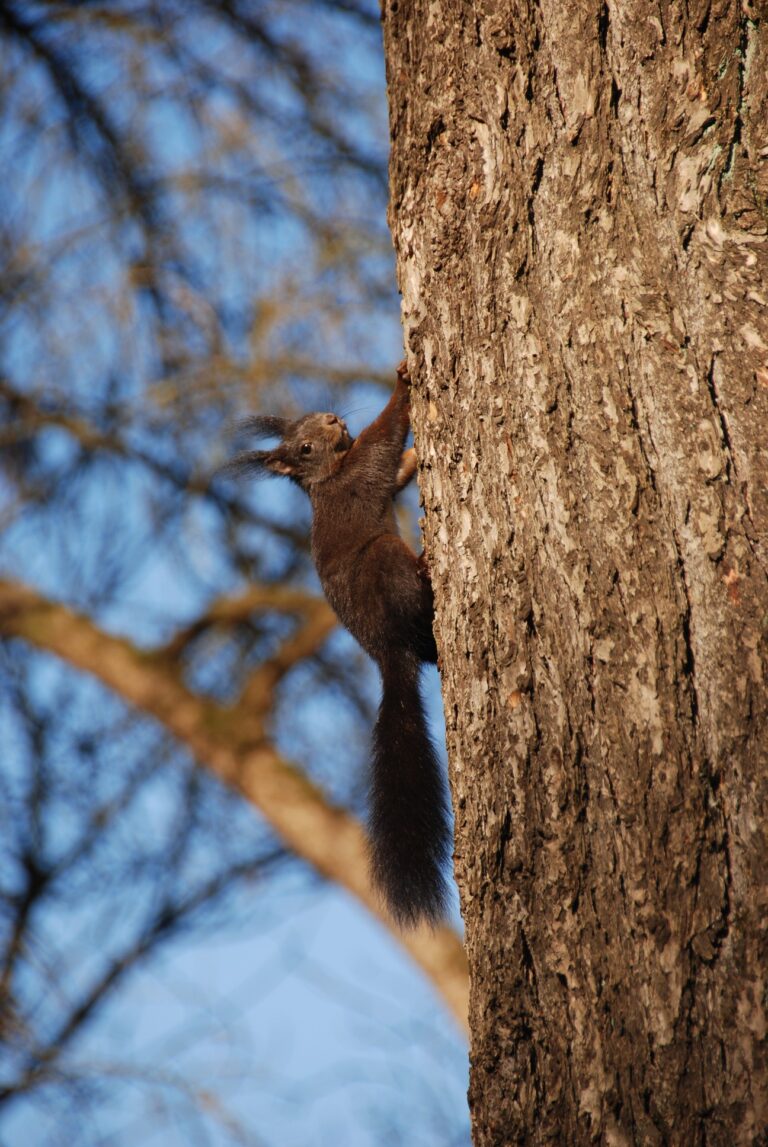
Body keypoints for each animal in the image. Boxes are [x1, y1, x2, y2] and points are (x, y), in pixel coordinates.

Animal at [224, 362, 451, 926]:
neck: (328, 476)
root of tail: (387, 651)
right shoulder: (359, 473)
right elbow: (384, 437)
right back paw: (425, 567)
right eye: (304, 447)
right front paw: (403, 383)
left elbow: (398, 466)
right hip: (384, 560)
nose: (331, 418)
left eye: (313, 416)